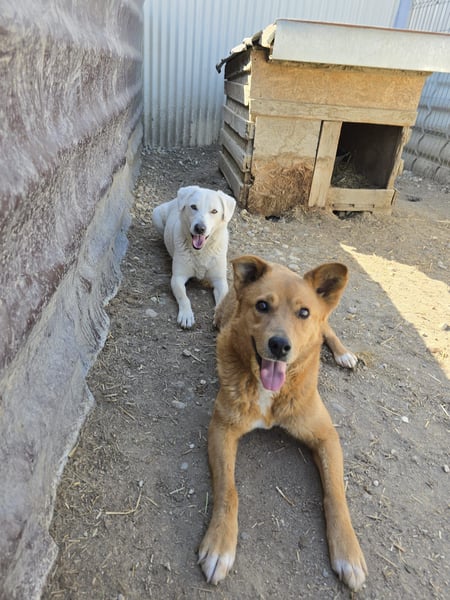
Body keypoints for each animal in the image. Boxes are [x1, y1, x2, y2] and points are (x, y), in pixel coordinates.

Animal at [152, 186, 236, 328]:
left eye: (214, 211)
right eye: (193, 207)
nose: (200, 228)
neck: (201, 251)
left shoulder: (220, 281)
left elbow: (223, 300)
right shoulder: (177, 278)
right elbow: (184, 298)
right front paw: (186, 315)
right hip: (156, 214)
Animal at [198, 256, 367, 592]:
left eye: (303, 312)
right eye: (262, 306)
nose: (279, 345)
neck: (270, 392)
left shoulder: (326, 436)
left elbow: (336, 495)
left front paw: (348, 553)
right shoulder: (222, 428)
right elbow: (228, 490)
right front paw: (220, 544)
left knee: (326, 327)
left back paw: (343, 354)